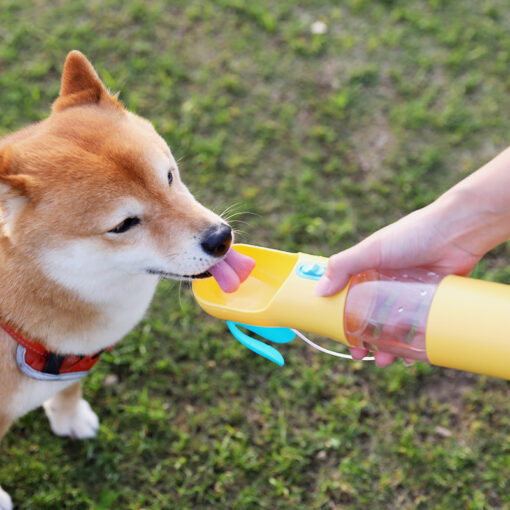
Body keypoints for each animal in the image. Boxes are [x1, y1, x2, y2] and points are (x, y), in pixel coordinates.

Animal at [0, 49, 254, 508]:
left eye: (168, 176)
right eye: (124, 225)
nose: (220, 237)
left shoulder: (72, 357)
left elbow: (69, 388)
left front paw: (69, 417)